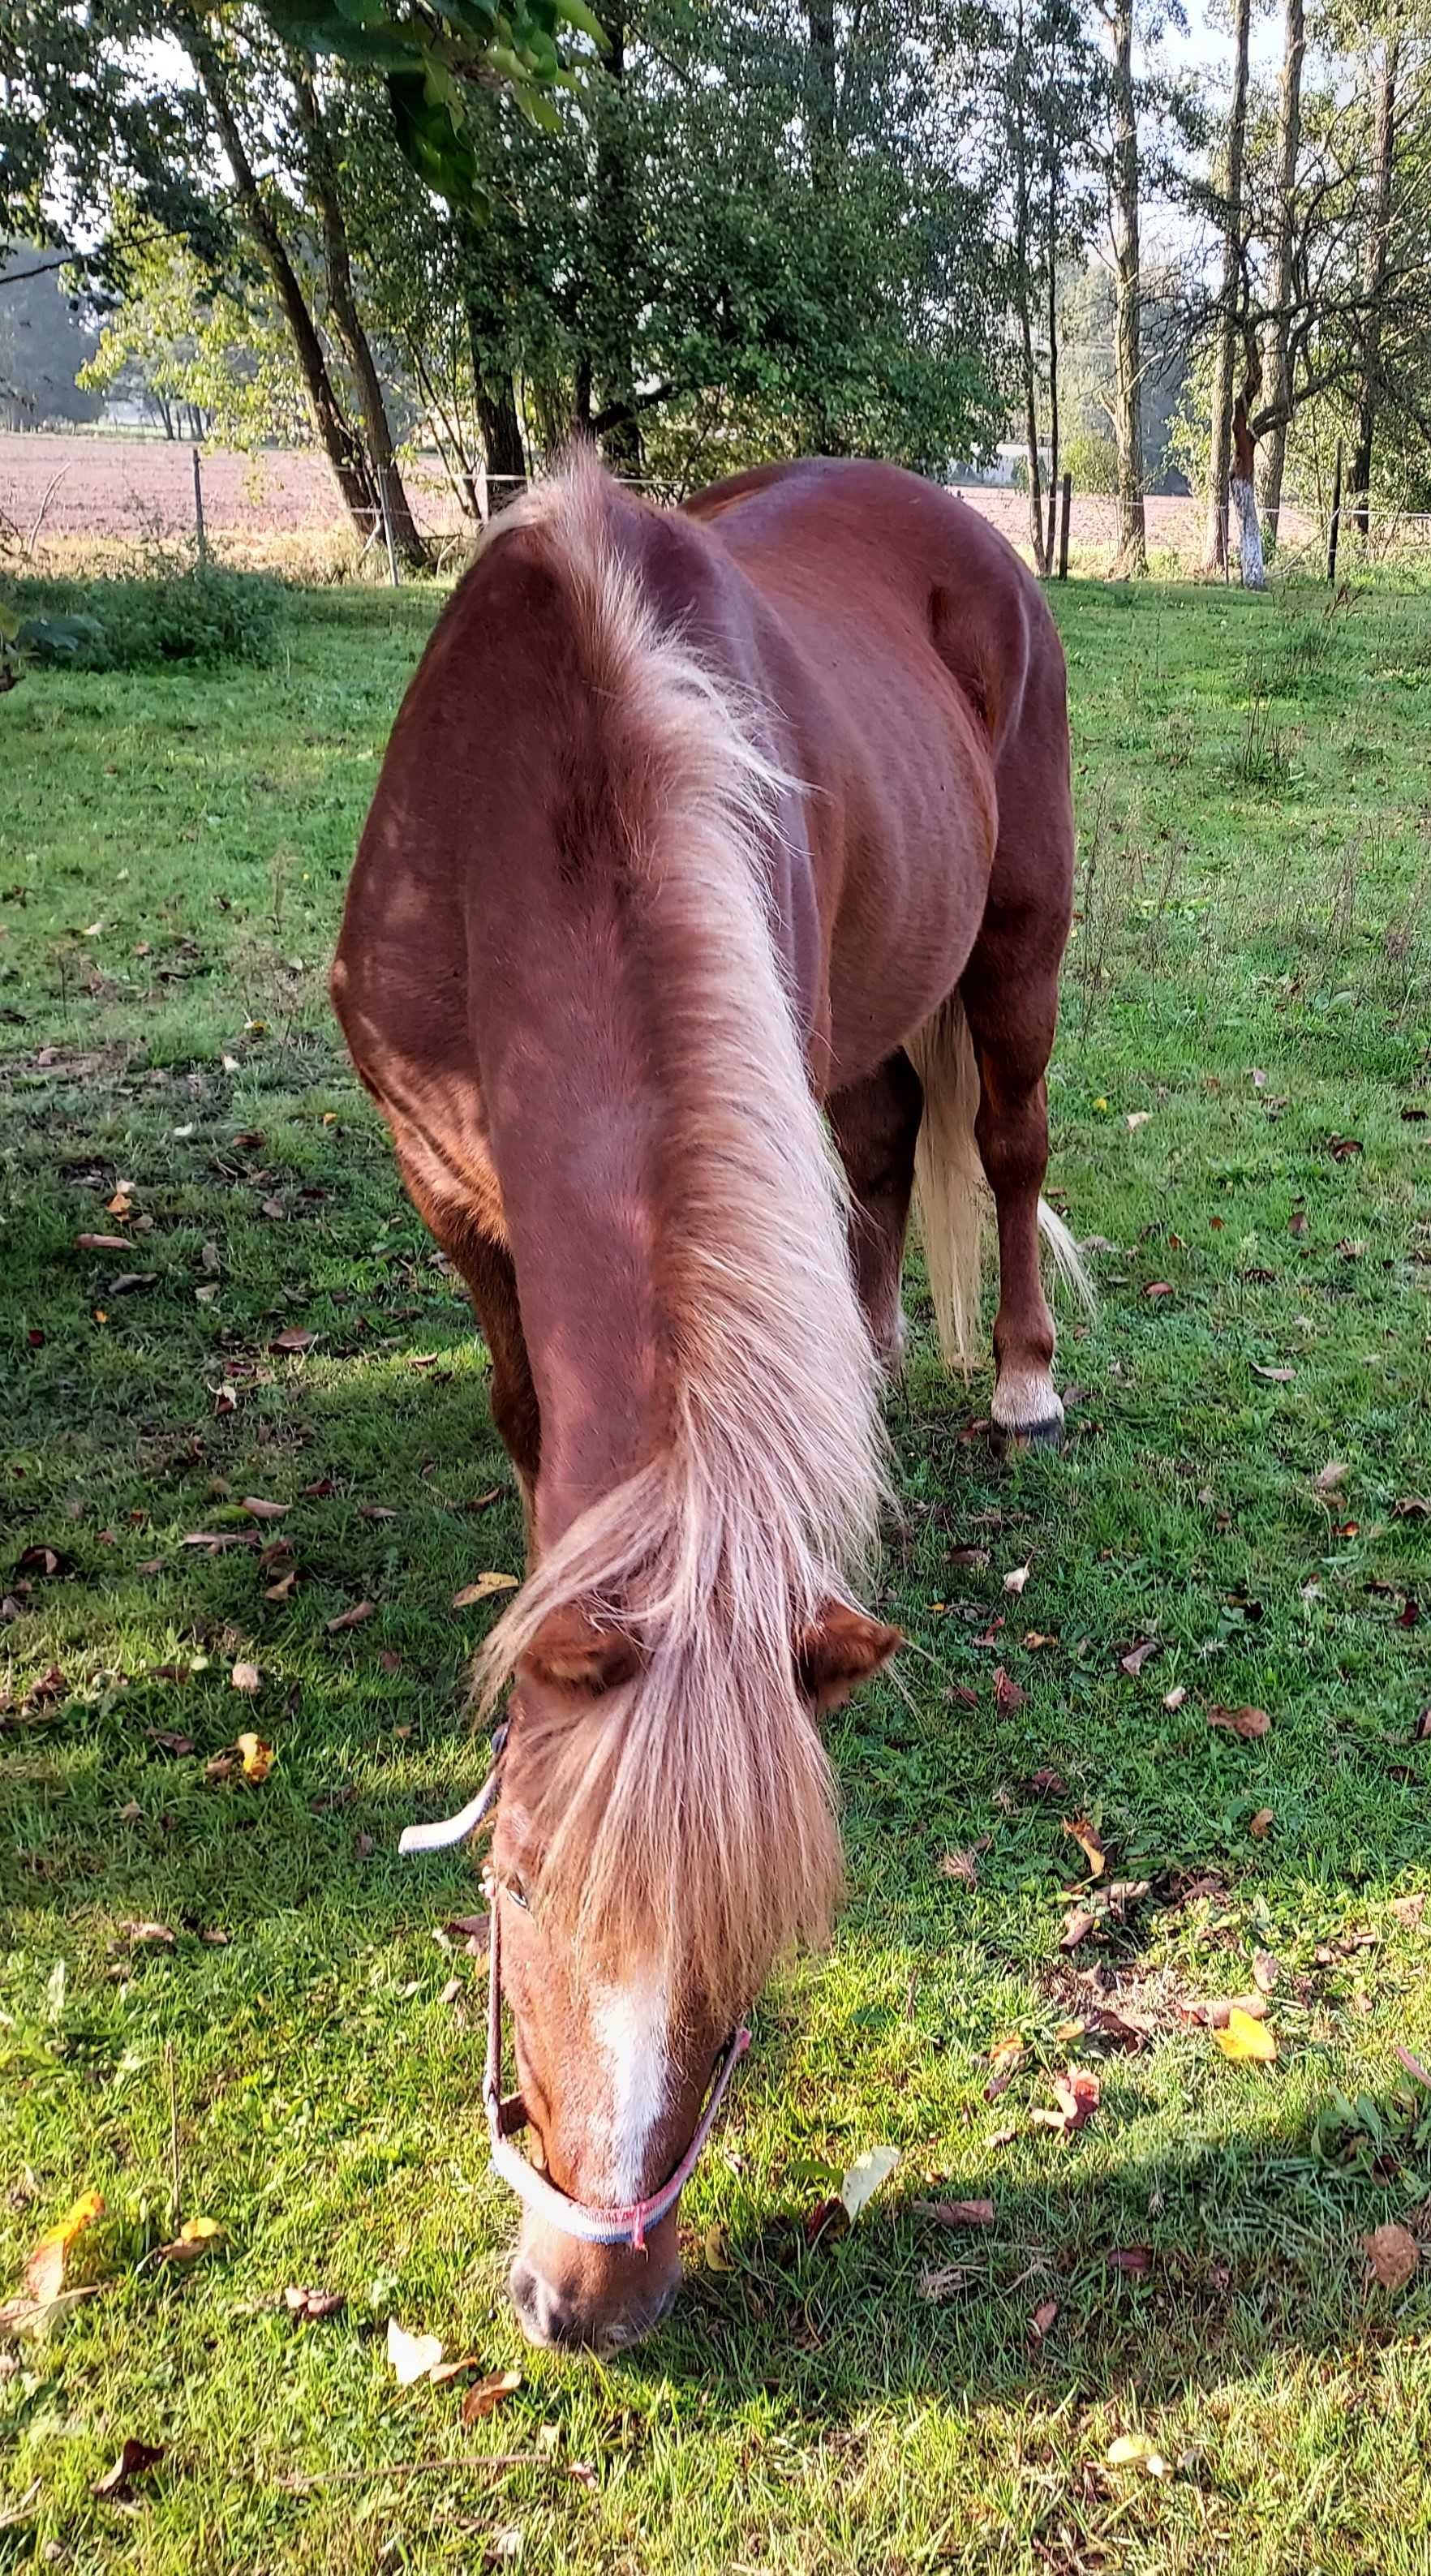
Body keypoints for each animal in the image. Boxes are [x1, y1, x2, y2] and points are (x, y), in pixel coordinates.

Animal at [327, 448, 1088, 2359]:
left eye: (753, 1948)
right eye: (515, 1880)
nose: (589, 2302)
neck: (549, 782)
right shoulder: (450, 1194)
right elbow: (527, 1409)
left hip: (1012, 944)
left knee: (1003, 1143)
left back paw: (1020, 1380)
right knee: (884, 1156)